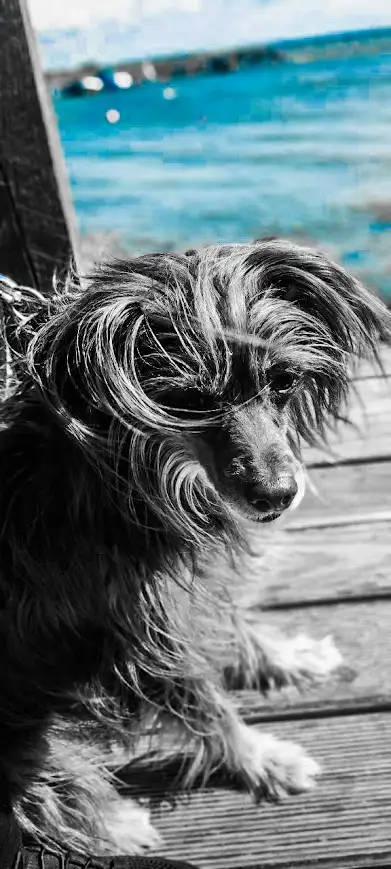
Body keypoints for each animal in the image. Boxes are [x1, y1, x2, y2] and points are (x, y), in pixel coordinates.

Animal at [0, 239, 390, 856]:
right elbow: (209, 708)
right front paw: (261, 760)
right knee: (37, 783)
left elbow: (235, 625)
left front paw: (284, 657)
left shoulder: (187, 594)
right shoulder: (143, 636)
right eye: (185, 401)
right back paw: (112, 822)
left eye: (283, 380)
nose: (278, 496)